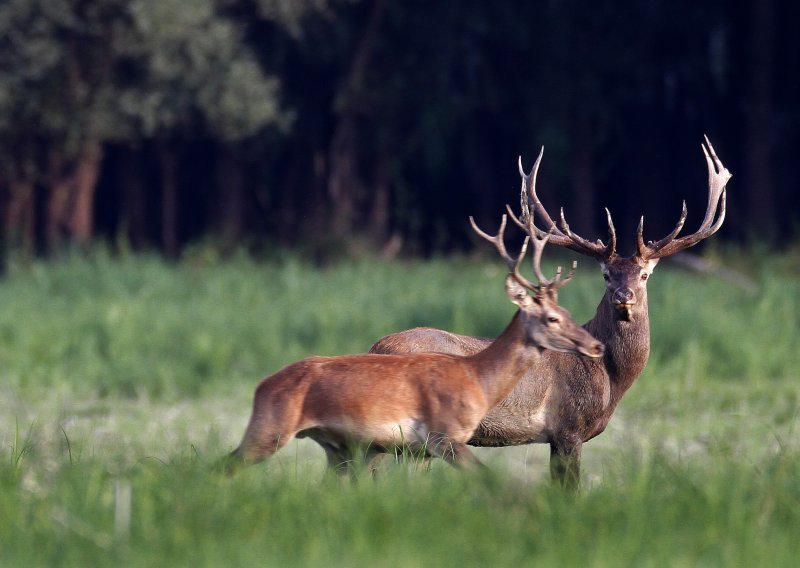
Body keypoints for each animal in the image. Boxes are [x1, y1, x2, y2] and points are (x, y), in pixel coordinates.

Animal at [222, 226, 604, 474]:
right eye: (553, 318)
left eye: (569, 312)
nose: (595, 345)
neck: (477, 377)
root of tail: (261, 386)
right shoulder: (443, 437)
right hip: (273, 429)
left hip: (336, 445)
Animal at [370, 136, 732, 488]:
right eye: (606, 274)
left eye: (644, 275)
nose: (624, 296)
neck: (610, 379)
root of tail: (376, 347)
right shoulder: (567, 428)